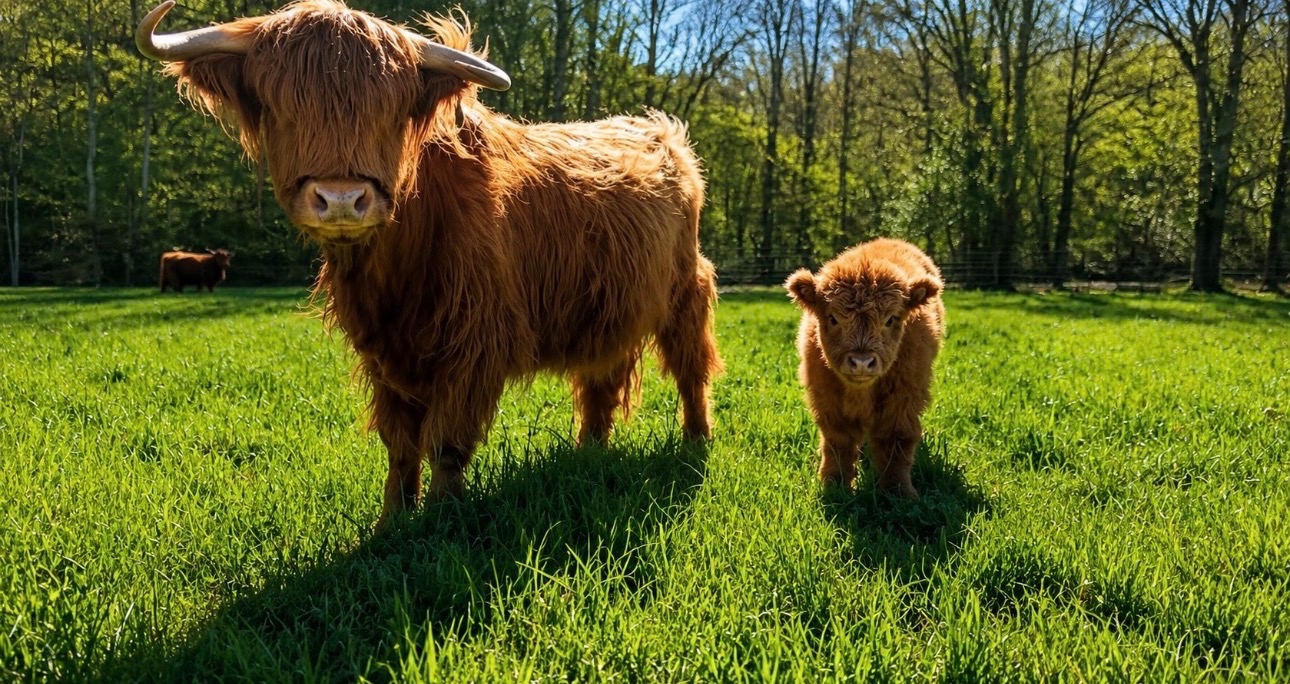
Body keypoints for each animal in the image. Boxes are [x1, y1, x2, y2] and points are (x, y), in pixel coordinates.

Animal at [137, 0, 723, 526]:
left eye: (389, 113)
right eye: (280, 108)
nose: (342, 199)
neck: (397, 266)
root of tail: (663, 132)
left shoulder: (475, 341)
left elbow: (446, 440)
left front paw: (441, 518)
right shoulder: (385, 350)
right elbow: (400, 444)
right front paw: (392, 520)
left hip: (686, 291)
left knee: (692, 369)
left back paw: (696, 441)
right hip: (609, 310)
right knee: (600, 383)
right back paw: (588, 454)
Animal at [785, 238, 944, 499]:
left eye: (890, 319)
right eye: (833, 318)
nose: (861, 362)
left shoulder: (905, 397)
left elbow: (896, 439)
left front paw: (898, 491)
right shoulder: (827, 400)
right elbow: (838, 441)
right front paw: (834, 484)